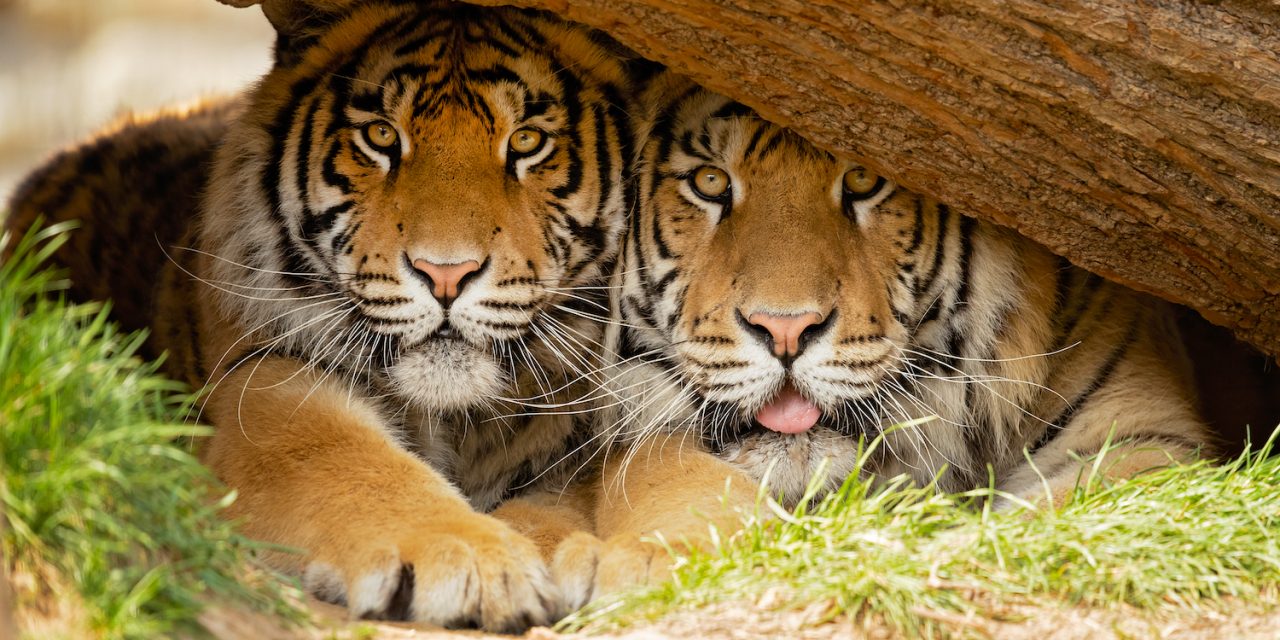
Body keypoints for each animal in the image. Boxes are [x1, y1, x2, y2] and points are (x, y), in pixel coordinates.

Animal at [4, 0, 640, 630]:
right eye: (381, 136)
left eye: (528, 142)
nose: (445, 274)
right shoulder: (260, 384)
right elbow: (348, 462)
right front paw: (474, 560)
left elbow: (560, 499)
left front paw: (567, 554)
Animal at [562, 72, 1216, 596]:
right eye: (709, 183)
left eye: (862, 179)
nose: (785, 329)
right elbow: (668, 475)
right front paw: (647, 564)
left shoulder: (1144, 440)